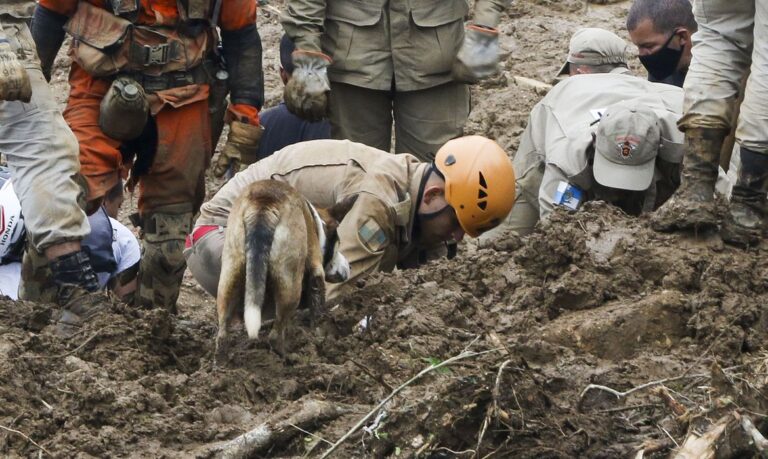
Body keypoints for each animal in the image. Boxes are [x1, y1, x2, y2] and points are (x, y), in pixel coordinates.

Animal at [216, 180, 356, 360]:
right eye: (338, 245)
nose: (350, 266)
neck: (317, 225)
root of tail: (264, 204)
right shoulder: (316, 271)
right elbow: (317, 307)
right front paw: (318, 335)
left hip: (230, 276)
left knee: (222, 334)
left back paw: (221, 363)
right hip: (290, 286)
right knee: (274, 336)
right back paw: (289, 357)